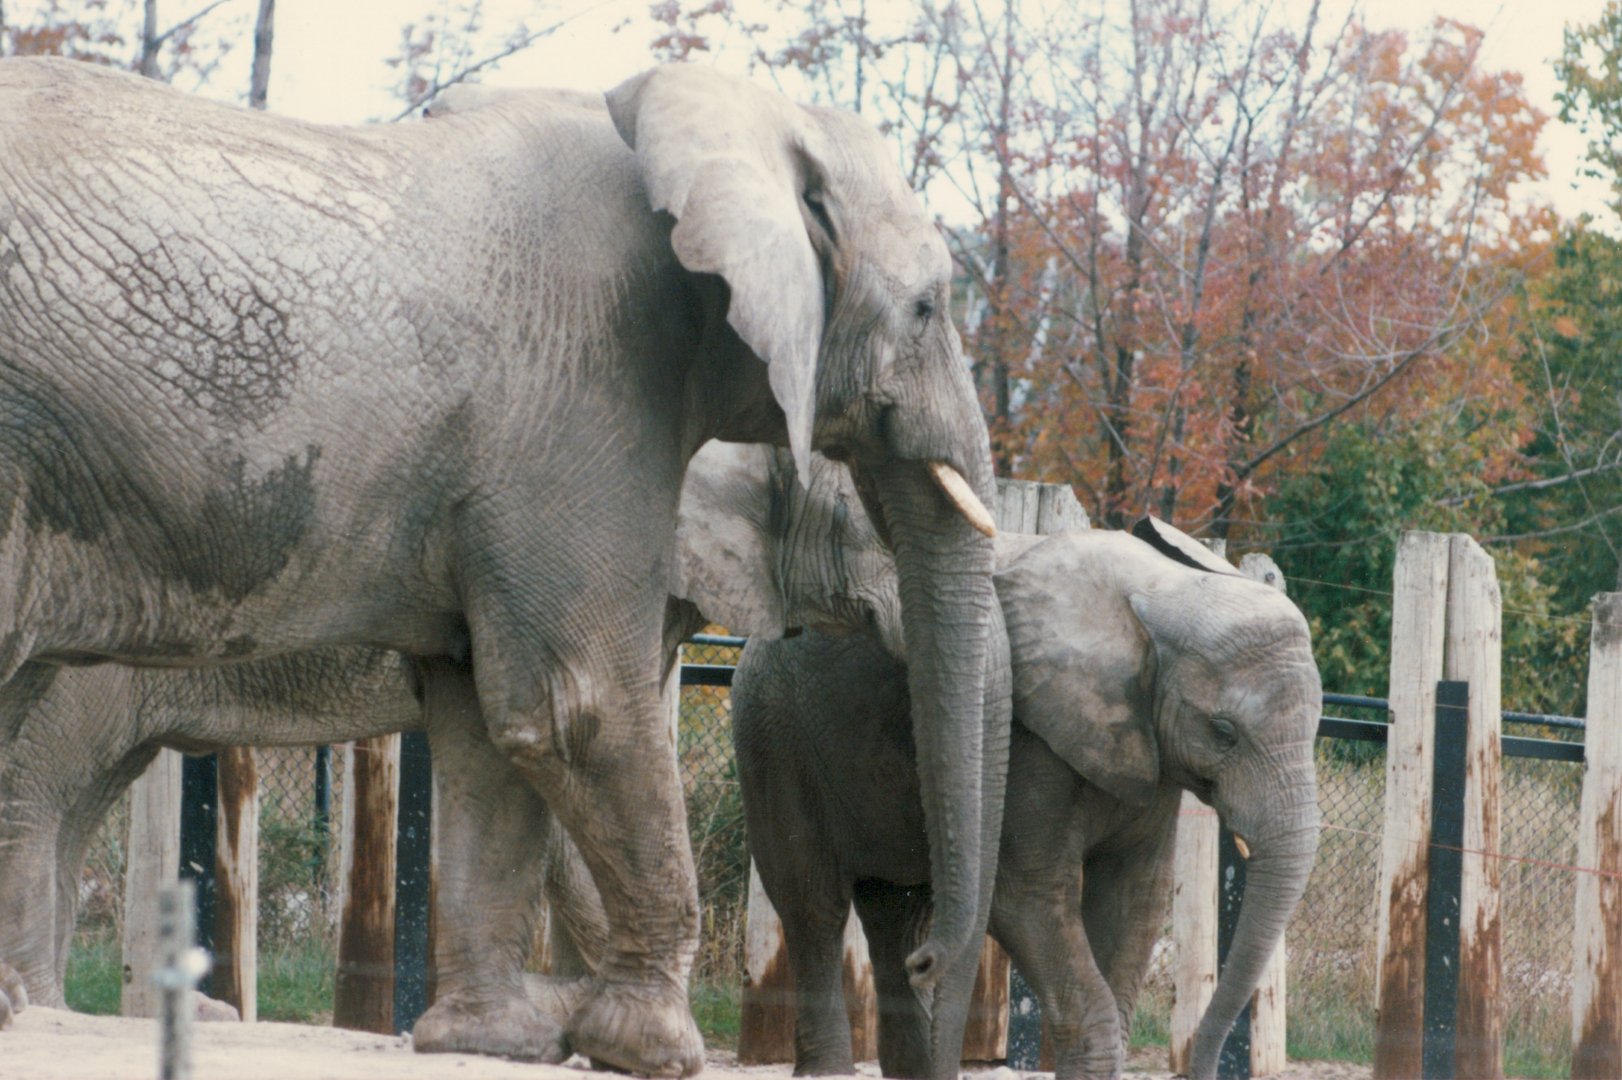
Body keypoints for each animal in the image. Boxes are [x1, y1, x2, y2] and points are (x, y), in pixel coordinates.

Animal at [730, 521, 1322, 1080]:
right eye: (1224, 732)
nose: (1201, 1068)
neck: (1162, 592)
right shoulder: (1026, 735)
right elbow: (1025, 895)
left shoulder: (1146, 753)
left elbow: (1136, 898)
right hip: (774, 735)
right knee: (814, 907)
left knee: (898, 915)